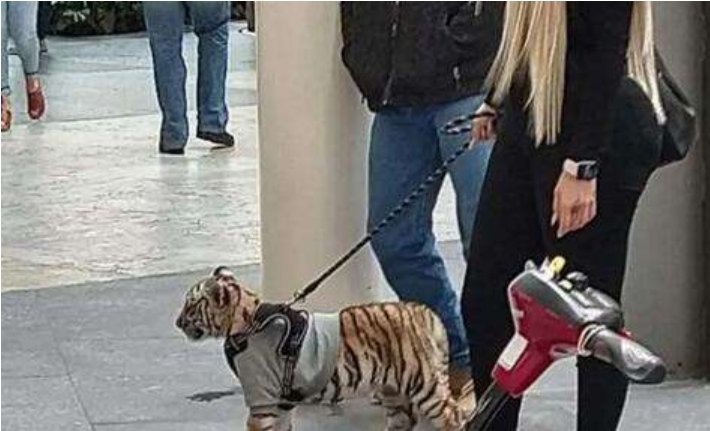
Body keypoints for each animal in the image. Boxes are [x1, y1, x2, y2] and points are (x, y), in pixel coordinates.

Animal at [175, 266, 476, 431]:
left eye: (191, 306)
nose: (177, 322)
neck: (247, 319)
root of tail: (424, 311)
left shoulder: (262, 400)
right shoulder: (281, 403)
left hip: (424, 385)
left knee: (453, 417)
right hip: (395, 392)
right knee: (405, 422)